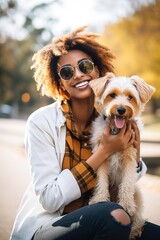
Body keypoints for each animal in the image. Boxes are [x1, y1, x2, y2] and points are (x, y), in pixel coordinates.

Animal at [89, 72, 155, 239]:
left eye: (130, 97)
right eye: (112, 95)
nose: (120, 109)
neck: (116, 130)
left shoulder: (130, 158)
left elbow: (126, 183)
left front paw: (126, 204)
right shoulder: (101, 156)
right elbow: (102, 181)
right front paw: (100, 199)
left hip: (137, 193)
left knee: (138, 217)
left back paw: (134, 229)